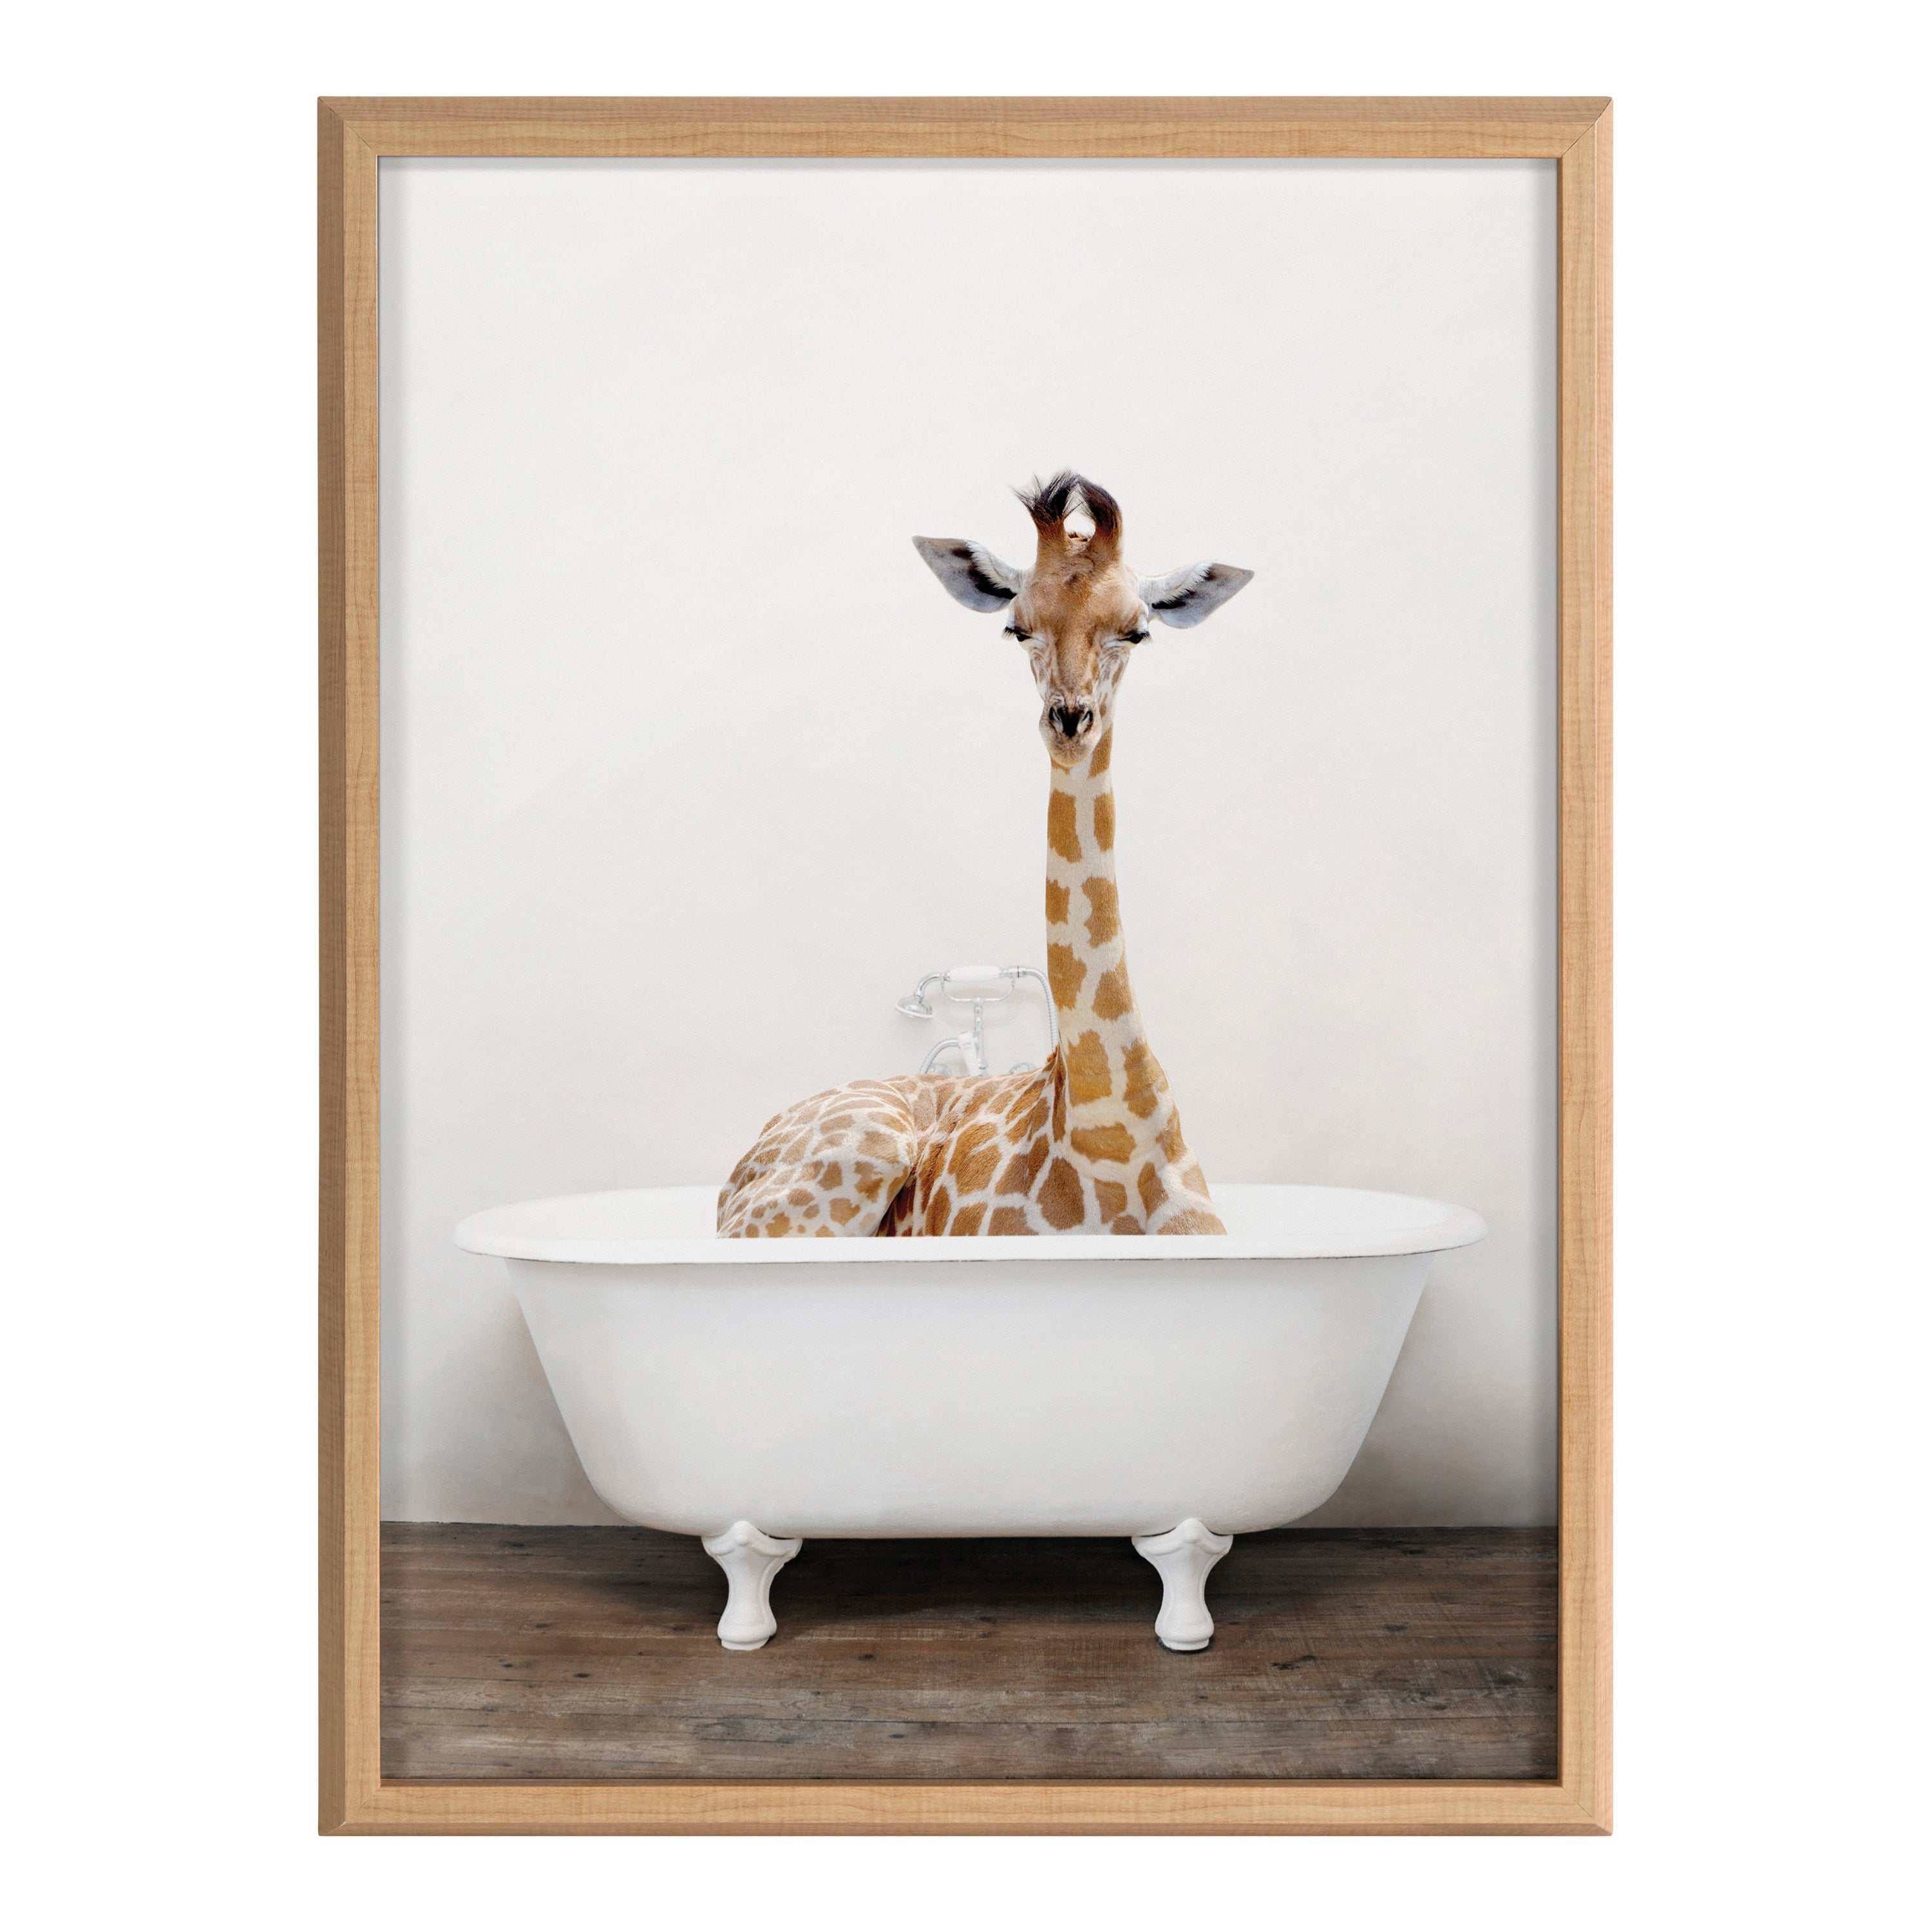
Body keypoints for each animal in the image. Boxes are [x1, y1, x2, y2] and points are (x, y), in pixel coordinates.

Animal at [716, 472, 1252, 1240]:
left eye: (1138, 630)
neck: (1111, 1130)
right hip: (854, 1156)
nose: (1070, 720)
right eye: (1016, 626)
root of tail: (734, 1175)